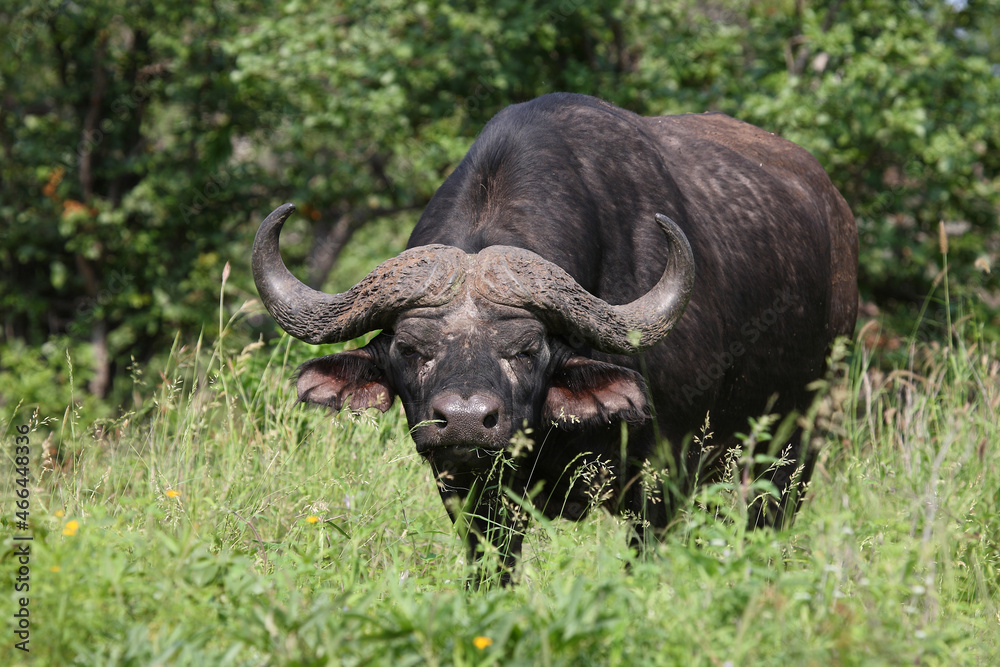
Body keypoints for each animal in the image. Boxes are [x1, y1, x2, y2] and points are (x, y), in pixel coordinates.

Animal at [253, 93, 858, 585]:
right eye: (410, 349)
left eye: (527, 350)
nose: (467, 421)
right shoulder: (470, 492)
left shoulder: (663, 478)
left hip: (792, 447)